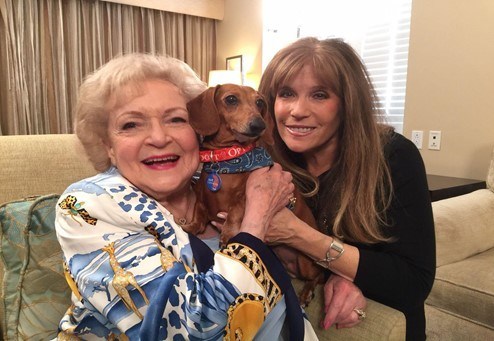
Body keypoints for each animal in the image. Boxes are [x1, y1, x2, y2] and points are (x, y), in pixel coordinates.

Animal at [185, 83, 324, 306]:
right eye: (231, 99)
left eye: (259, 102)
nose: (259, 125)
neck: (227, 161)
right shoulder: (201, 198)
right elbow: (198, 214)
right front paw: (189, 225)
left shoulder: (246, 194)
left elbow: (236, 208)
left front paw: (229, 233)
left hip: (306, 261)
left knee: (318, 277)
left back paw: (306, 293)